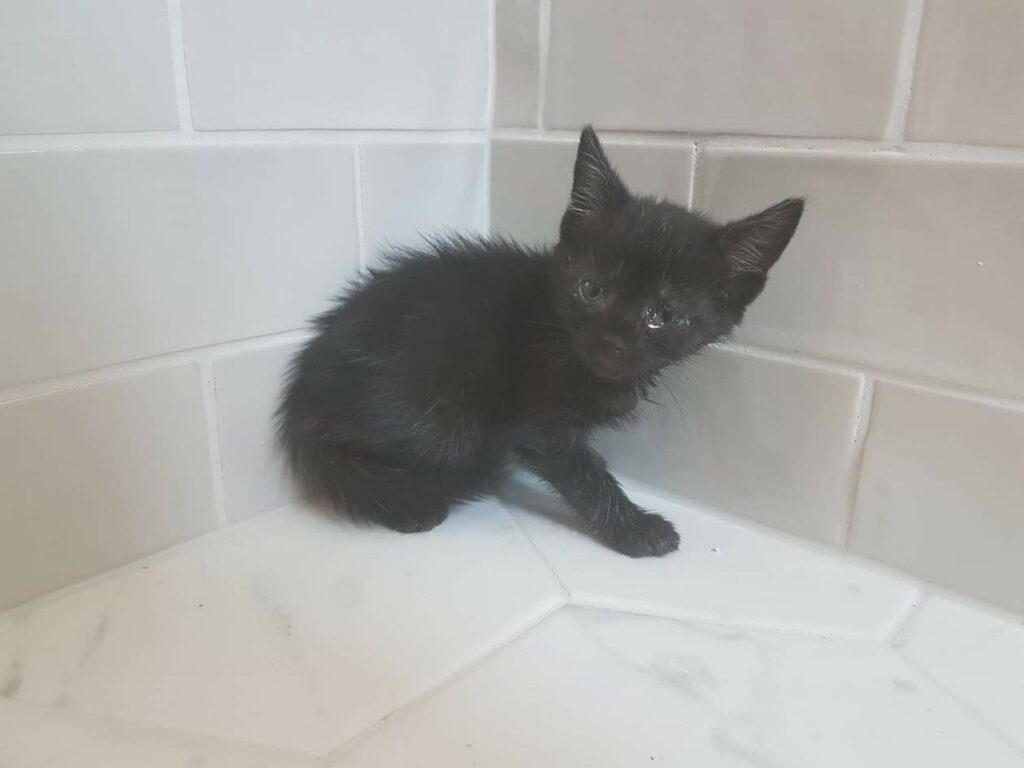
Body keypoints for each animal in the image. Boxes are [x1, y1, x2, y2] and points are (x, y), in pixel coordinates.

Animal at [277, 126, 803, 557]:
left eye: (665, 315)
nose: (612, 341)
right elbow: (581, 470)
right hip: (444, 425)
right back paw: (411, 504)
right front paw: (637, 530)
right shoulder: (536, 419)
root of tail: (300, 403)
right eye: (591, 289)